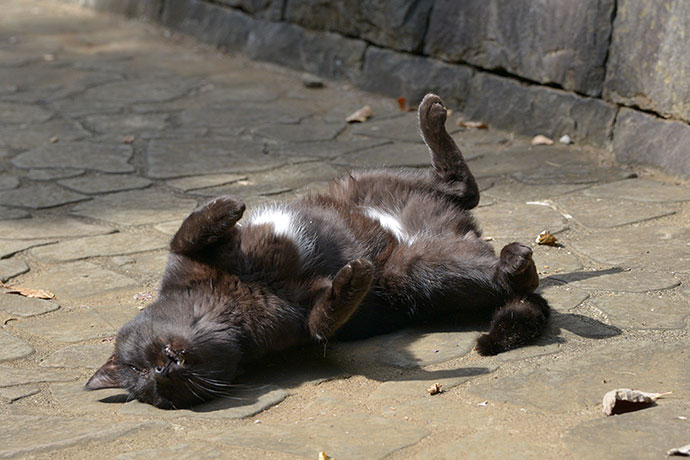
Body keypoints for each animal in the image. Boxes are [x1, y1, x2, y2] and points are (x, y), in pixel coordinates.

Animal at [86, 94, 548, 410]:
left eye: (139, 363)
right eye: (154, 386)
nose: (164, 368)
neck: (228, 301)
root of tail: (458, 231)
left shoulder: (187, 262)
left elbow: (182, 235)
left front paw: (228, 207)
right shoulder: (299, 326)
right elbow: (322, 322)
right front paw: (352, 278)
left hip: (367, 181)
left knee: (462, 187)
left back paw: (430, 114)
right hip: (419, 271)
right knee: (511, 270)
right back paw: (515, 261)